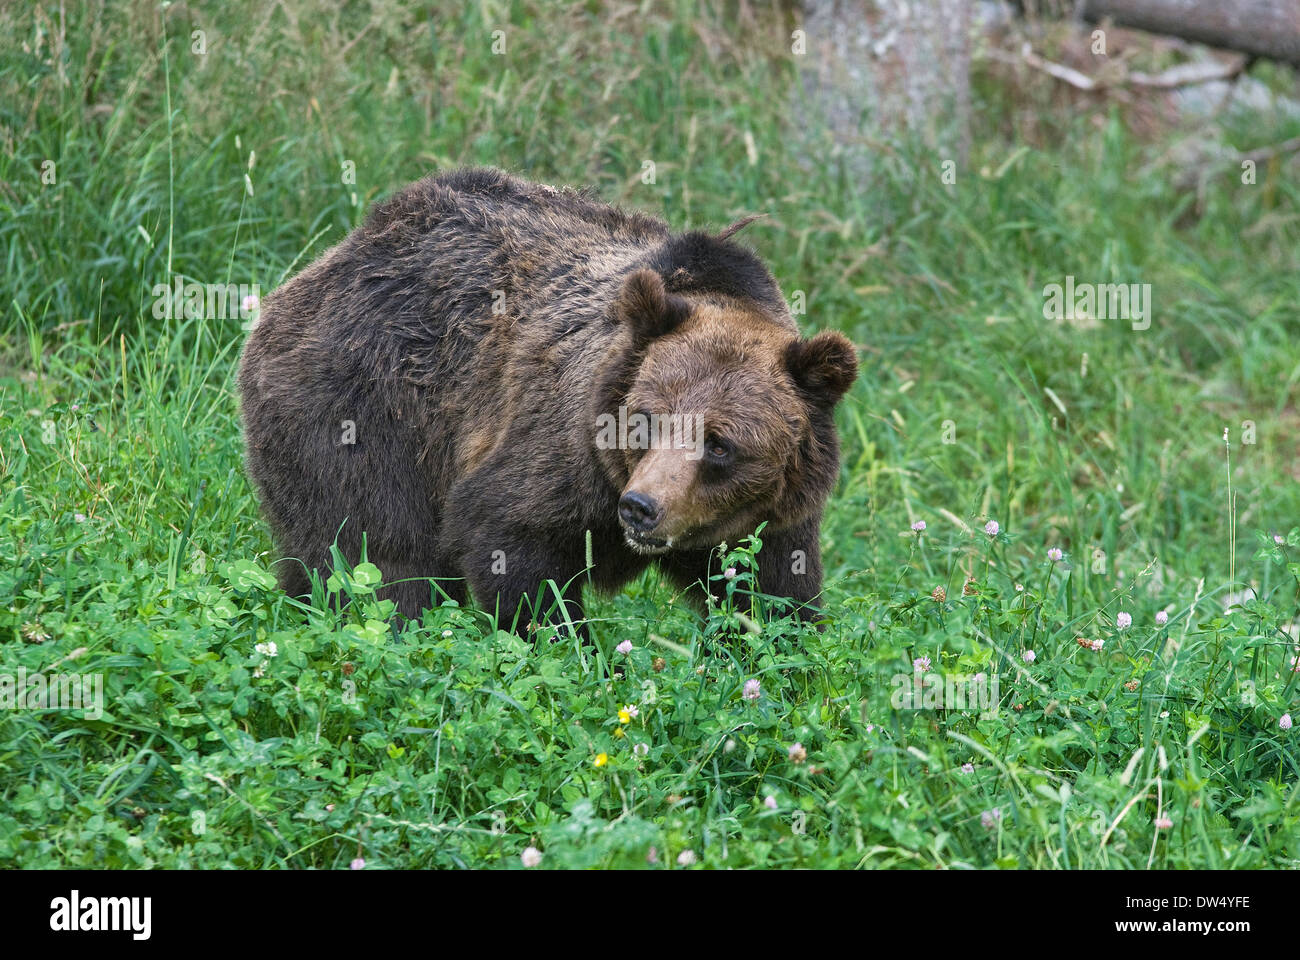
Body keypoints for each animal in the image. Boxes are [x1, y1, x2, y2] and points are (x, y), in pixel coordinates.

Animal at [239, 167, 857, 632]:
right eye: (645, 421)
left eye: (721, 443)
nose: (641, 507)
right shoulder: (561, 442)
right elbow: (515, 546)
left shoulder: (775, 520)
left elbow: (770, 599)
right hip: (365, 414)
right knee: (374, 556)